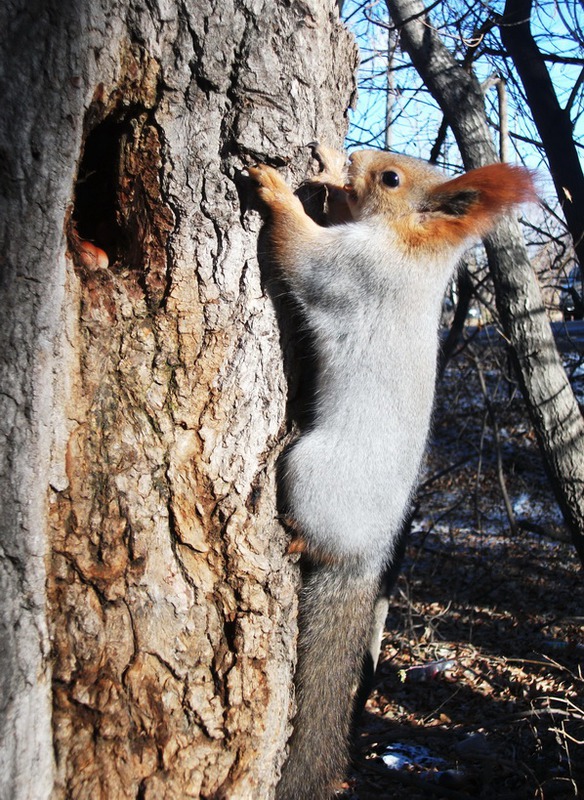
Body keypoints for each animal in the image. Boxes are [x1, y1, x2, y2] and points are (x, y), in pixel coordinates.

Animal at [248, 145, 532, 800]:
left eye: (392, 178)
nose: (355, 154)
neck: (411, 249)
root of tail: (368, 554)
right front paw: (327, 169)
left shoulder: (354, 270)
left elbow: (303, 254)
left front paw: (278, 191)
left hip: (310, 471)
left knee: (311, 531)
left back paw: (296, 534)